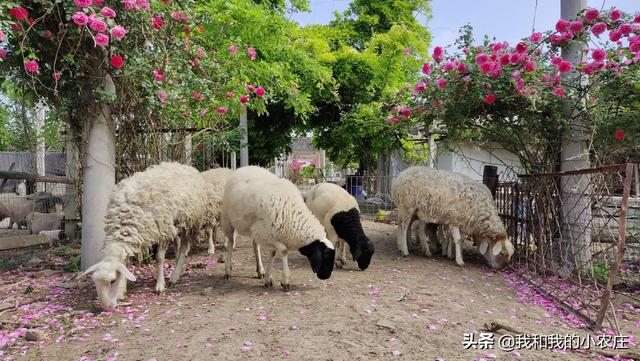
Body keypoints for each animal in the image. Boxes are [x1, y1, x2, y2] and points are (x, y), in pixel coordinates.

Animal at [80, 162, 208, 308]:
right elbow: (126, 264)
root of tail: (182, 165)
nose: (106, 308)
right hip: (175, 224)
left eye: (112, 281)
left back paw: (174, 276)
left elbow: (159, 258)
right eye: (95, 282)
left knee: (183, 248)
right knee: (177, 243)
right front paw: (121, 291)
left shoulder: (162, 230)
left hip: (190, 221)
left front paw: (160, 285)